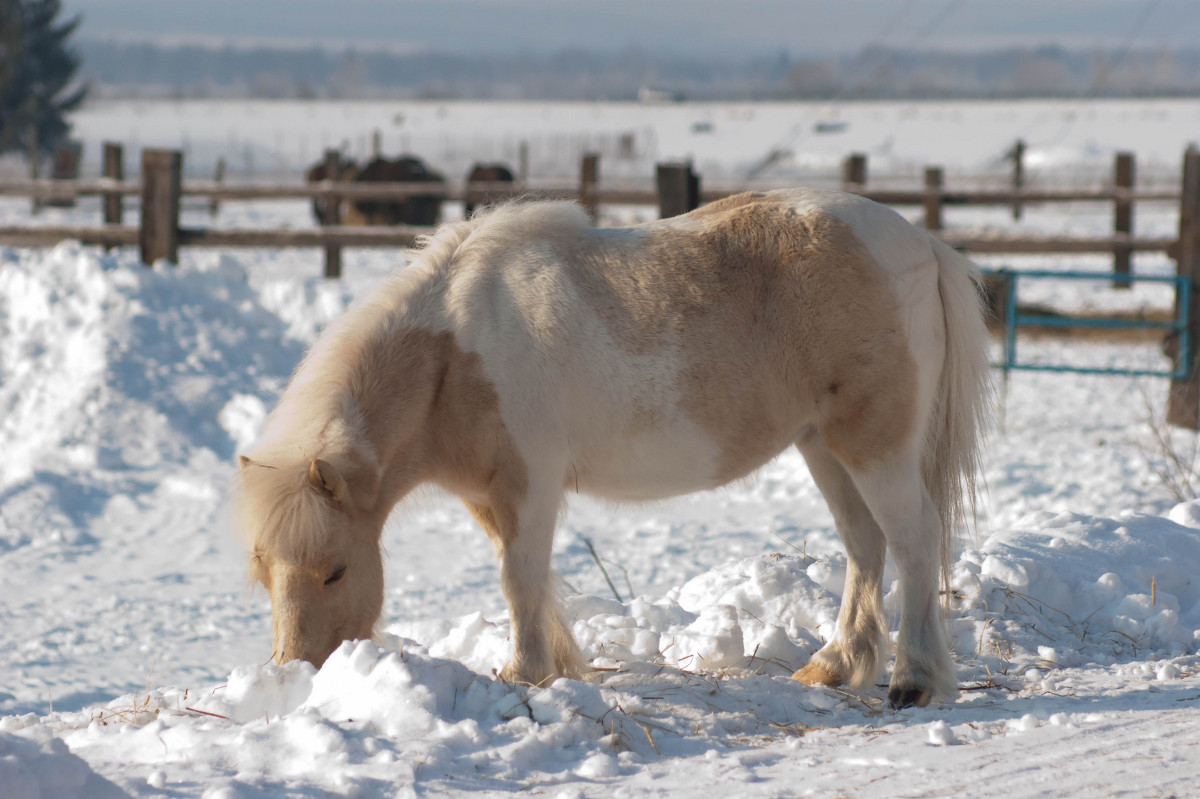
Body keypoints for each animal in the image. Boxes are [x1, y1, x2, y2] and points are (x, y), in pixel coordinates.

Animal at [229, 188, 988, 710]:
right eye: (265, 572)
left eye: (334, 570)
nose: (296, 668)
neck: (455, 352)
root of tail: (920, 243)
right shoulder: (488, 496)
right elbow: (528, 581)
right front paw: (558, 667)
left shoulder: (530, 485)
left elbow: (520, 579)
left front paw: (527, 676)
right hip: (824, 449)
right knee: (866, 545)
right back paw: (836, 665)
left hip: (874, 448)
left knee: (914, 541)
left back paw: (914, 680)